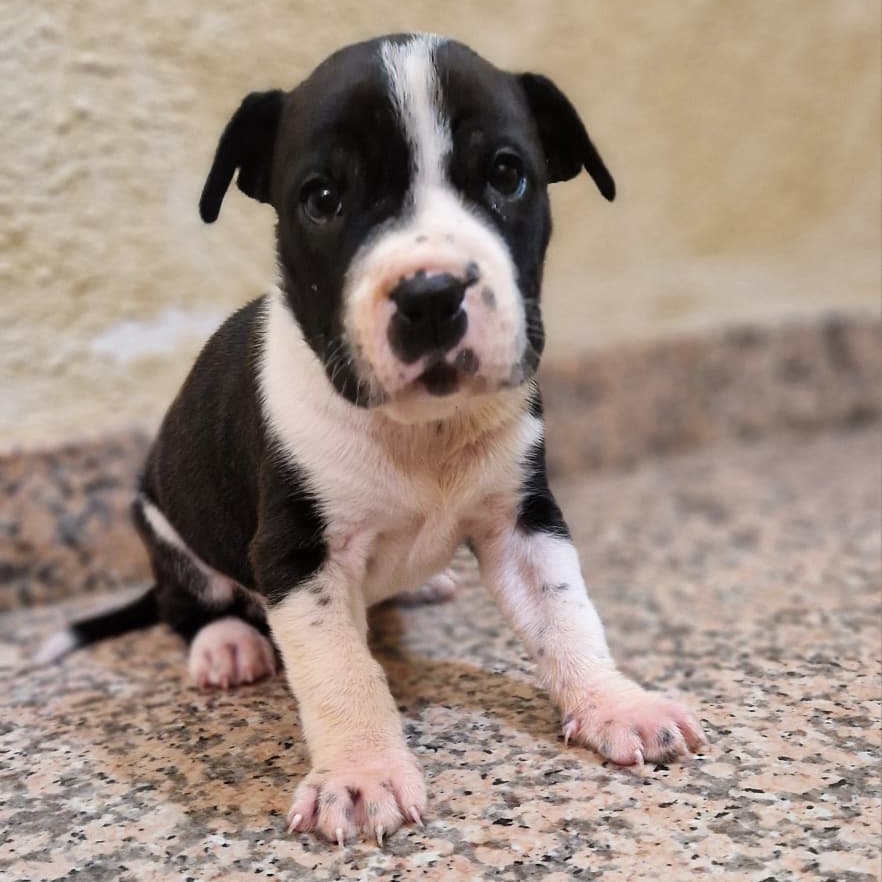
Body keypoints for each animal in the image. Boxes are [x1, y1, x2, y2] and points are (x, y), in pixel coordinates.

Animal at [39, 34, 706, 846]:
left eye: (507, 175)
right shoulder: (300, 559)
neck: (417, 429)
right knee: (185, 605)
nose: (431, 294)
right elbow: (342, 672)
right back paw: (225, 643)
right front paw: (360, 775)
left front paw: (615, 703)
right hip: (166, 526)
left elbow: (566, 614)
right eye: (323, 198)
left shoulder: (524, 522)